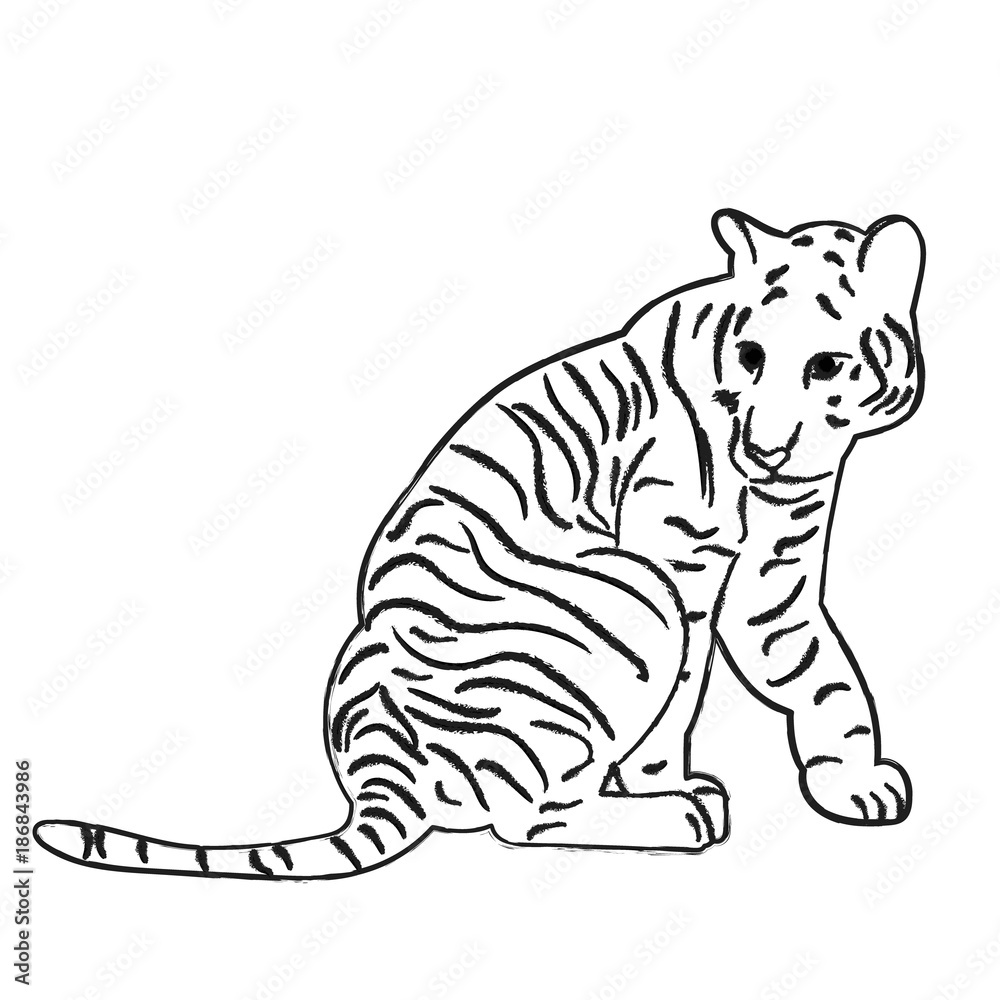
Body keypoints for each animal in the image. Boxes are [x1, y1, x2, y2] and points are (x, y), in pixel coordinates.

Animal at [35, 209, 925, 879]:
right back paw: (674, 814)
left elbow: (822, 679)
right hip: (632, 605)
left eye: (824, 365)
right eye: (751, 356)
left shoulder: (776, 577)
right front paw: (663, 780)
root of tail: (384, 777)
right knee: (531, 820)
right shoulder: (682, 571)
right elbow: (684, 697)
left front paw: (853, 784)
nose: (764, 448)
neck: (787, 473)